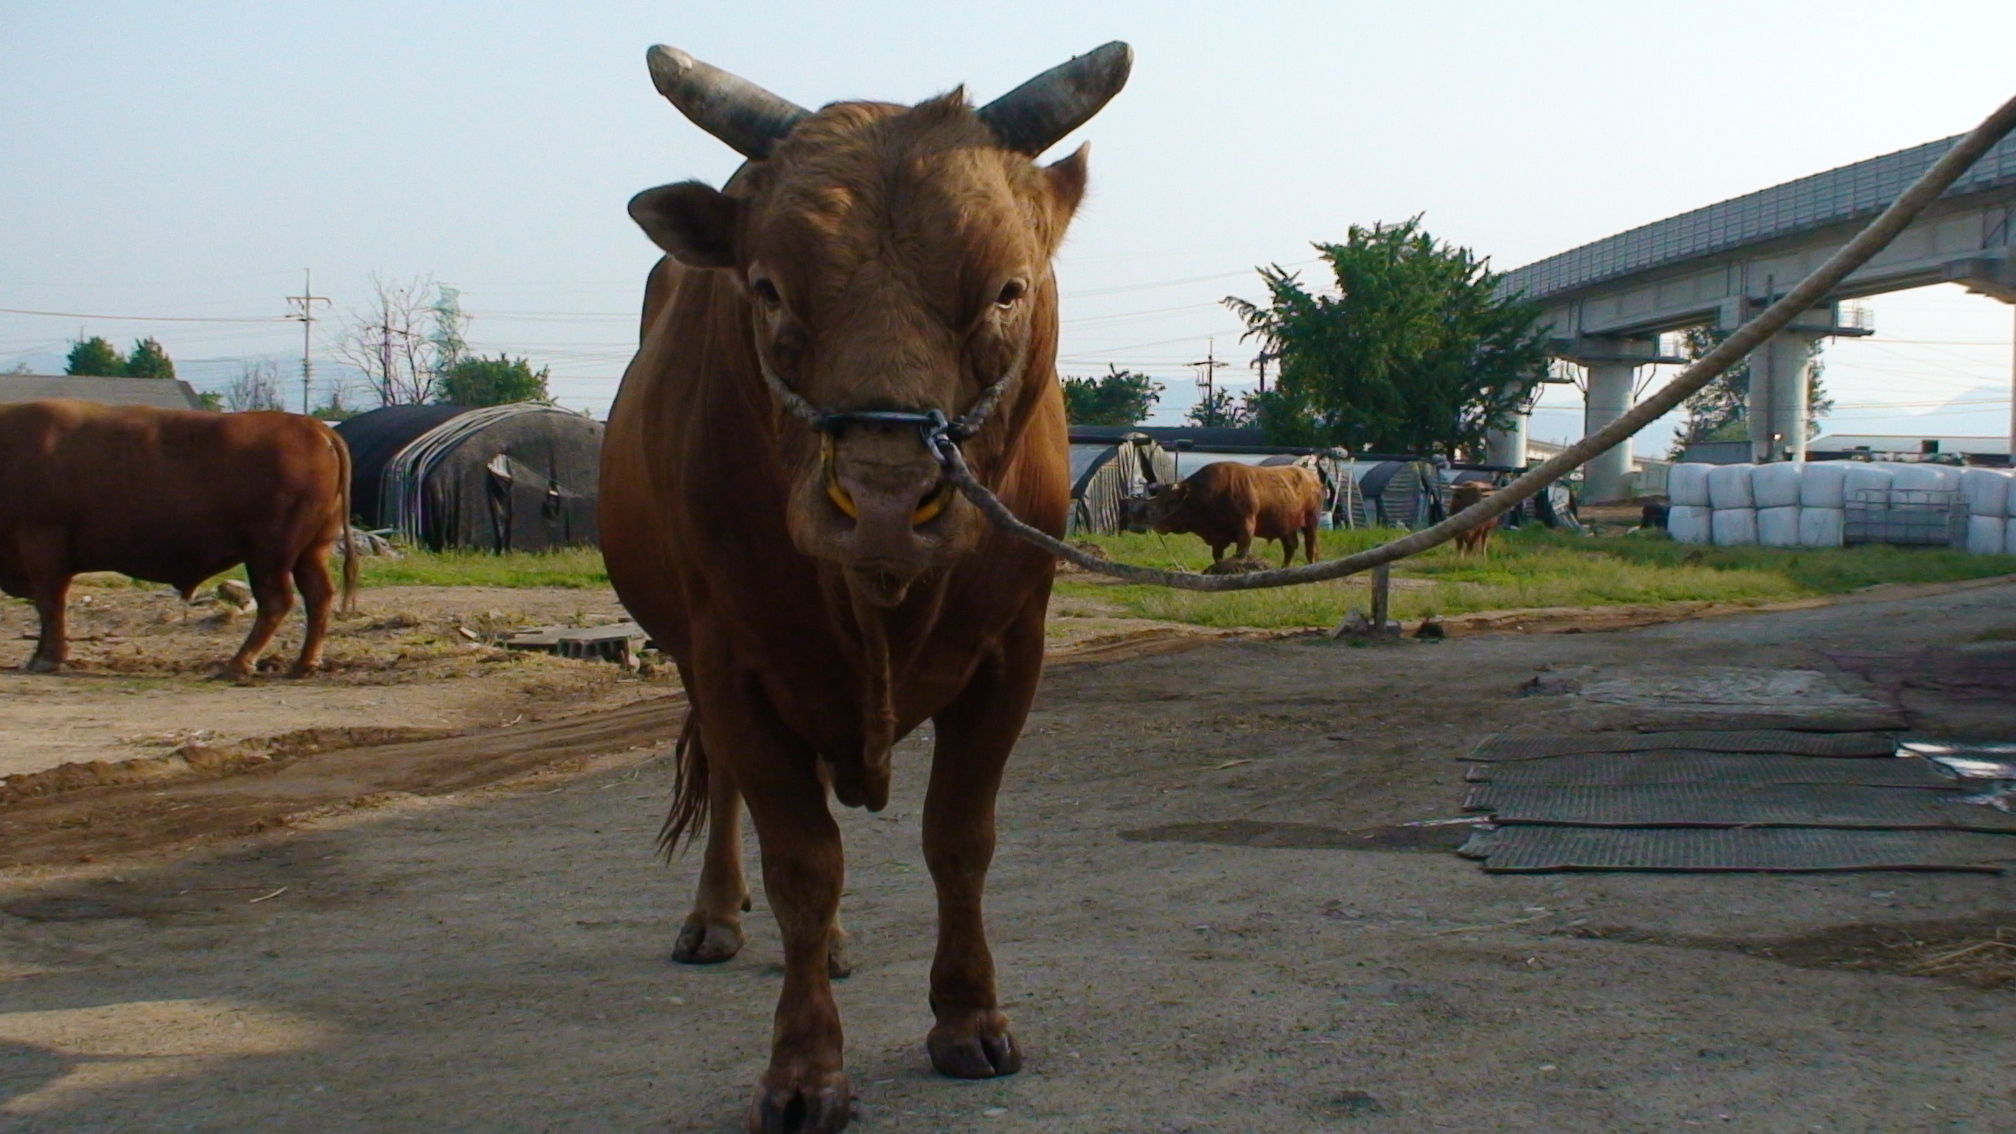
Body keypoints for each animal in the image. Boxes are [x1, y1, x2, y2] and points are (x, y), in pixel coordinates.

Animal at [0, 401, 358, 673]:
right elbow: (47, 605)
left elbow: (50, 603)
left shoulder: (43, 547)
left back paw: (238, 664)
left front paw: (47, 659)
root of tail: (315, 428)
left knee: (277, 601)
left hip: (269, 555)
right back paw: (304, 664)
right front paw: (41, 656)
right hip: (310, 551)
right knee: (318, 596)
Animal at [596, 39, 1137, 1121]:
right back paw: (716, 917)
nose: (886, 502)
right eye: (767, 287)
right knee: (737, 797)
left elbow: (959, 837)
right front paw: (806, 1067)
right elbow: (803, 863)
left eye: (1008, 289)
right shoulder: (733, 659)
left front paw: (969, 1017)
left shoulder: (1011, 651)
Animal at [1137, 460, 1322, 564]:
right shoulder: (1218, 539)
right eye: (1158, 501)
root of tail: (1312, 477)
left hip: (1310, 524)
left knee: (1310, 549)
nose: (1158, 525)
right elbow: (1218, 557)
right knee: (1290, 548)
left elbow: (1240, 554)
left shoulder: (1246, 529)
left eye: (1173, 501)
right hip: (1286, 527)